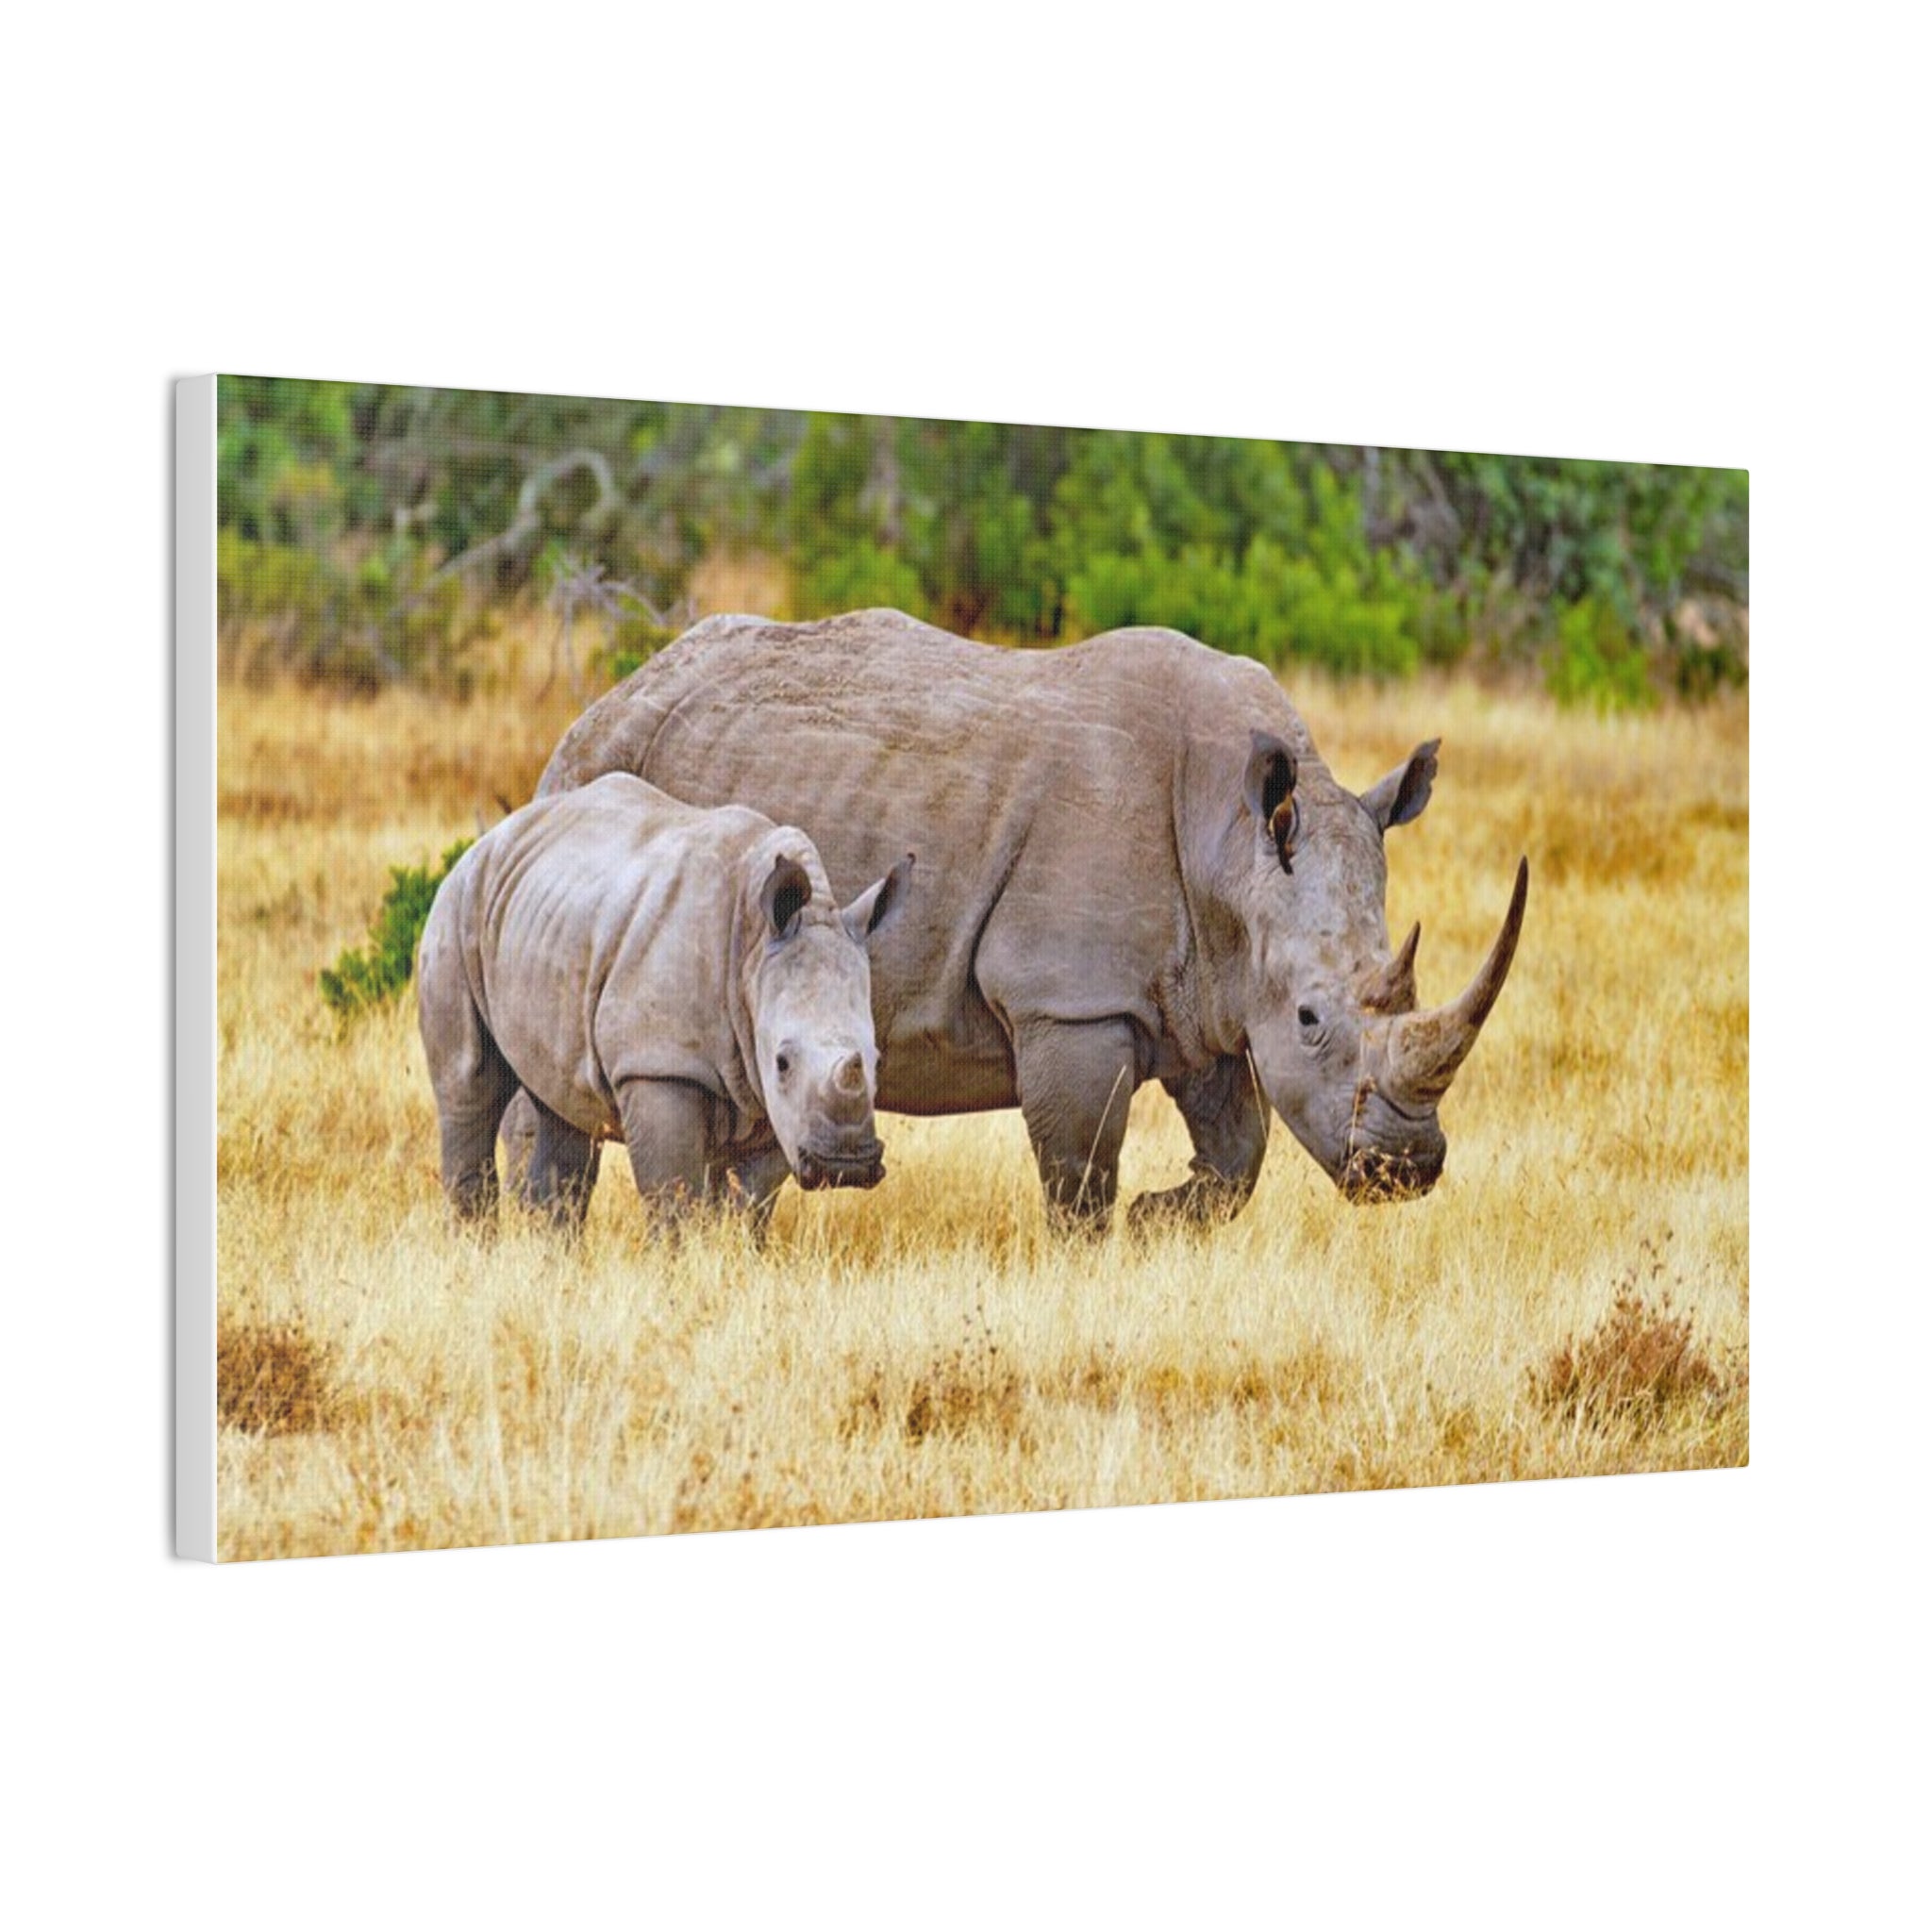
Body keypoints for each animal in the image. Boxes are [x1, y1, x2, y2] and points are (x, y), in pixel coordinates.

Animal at [418, 771, 912, 1231]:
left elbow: (751, 1202)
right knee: (469, 1085)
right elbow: (672, 1196)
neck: (752, 949)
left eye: (876, 1059)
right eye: (783, 1062)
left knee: (563, 1107)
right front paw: (677, 1259)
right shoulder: (659, 1063)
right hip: (457, 907)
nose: (845, 1167)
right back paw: (475, 1244)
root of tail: (493, 838)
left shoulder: (773, 1099)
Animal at [523, 609, 1527, 1232]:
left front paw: (1160, 1219)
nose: (1407, 1168)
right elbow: (1080, 1170)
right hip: (592, 776)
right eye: (1313, 1019)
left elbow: (1239, 1153)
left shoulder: (1203, 988)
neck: (1232, 843)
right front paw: (1105, 1248)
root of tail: (604, 701)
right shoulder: (1071, 1000)